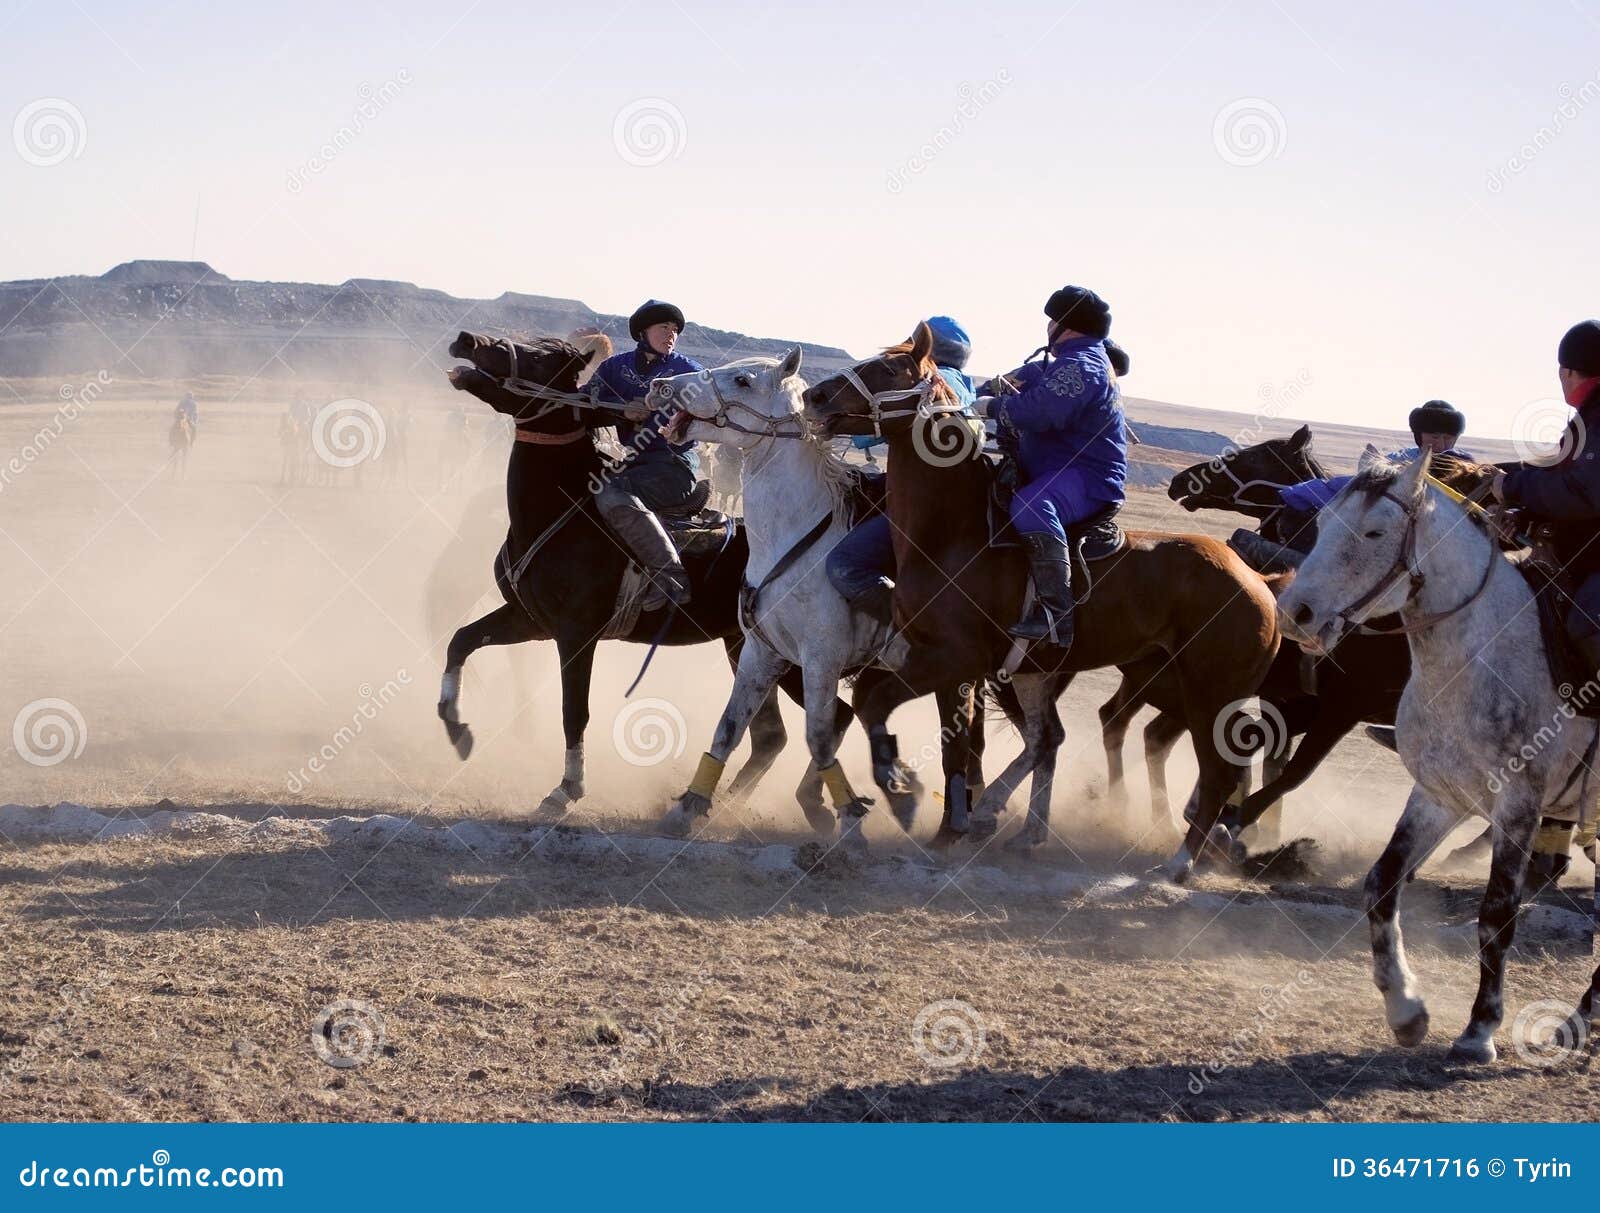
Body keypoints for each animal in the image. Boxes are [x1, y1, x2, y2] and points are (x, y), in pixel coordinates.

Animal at [438, 332, 851, 825]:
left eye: (540, 356)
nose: (467, 341)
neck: (560, 510)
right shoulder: (529, 620)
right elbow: (460, 641)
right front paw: (455, 725)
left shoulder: (576, 635)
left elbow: (573, 712)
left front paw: (566, 790)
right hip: (746, 649)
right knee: (772, 736)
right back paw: (724, 805)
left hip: (794, 656)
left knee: (835, 718)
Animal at [649, 344, 921, 857]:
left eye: (743, 380)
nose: (661, 386)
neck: (797, 537)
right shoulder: (760, 651)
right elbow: (729, 728)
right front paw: (687, 809)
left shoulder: (821, 659)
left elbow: (819, 736)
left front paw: (850, 819)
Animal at [806, 323, 1280, 883]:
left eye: (888, 369)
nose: (814, 396)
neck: (955, 533)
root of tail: (1258, 581)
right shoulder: (947, 664)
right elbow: (939, 737)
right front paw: (947, 823)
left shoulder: (953, 660)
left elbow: (878, 703)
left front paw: (903, 792)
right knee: (1073, 741)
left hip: (1208, 696)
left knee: (1217, 771)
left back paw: (1181, 859)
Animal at [1267, 454, 1593, 1062]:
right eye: (1321, 523)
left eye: (1374, 533)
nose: (1294, 613)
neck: (1480, 655)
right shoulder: (1440, 796)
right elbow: (1380, 885)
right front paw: (1406, 1009)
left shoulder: (1518, 807)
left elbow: (1496, 917)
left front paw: (1480, 1029)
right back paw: (1580, 1018)